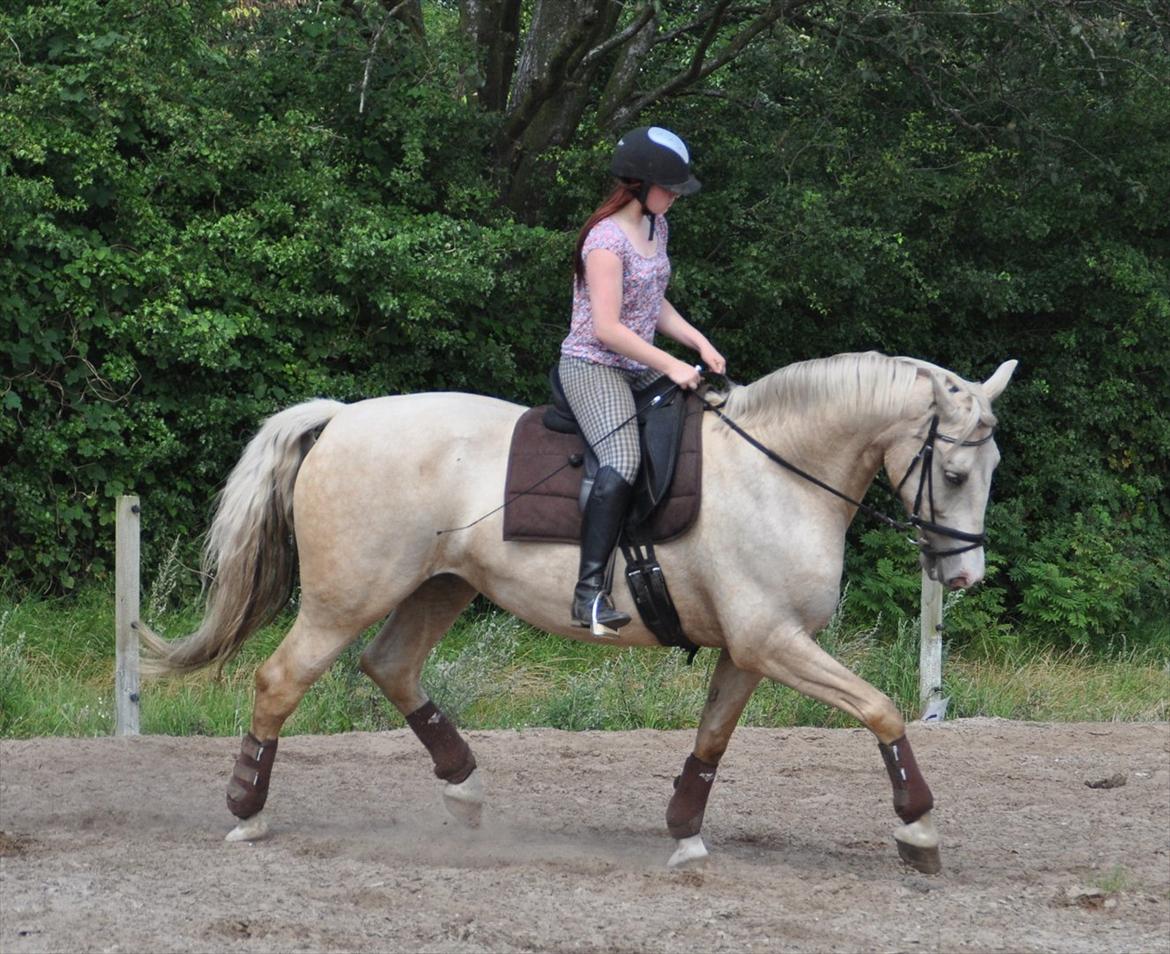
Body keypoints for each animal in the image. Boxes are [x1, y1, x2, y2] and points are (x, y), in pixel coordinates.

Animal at [139, 351, 1015, 870]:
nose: (964, 575)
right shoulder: (774, 640)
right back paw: (247, 814)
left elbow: (712, 740)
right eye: (957, 473)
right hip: (345, 597)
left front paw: (684, 831)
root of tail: (345, 416)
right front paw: (917, 830)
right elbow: (883, 710)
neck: (780, 474)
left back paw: (465, 790)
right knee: (280, 681)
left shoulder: (751, 648)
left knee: (390, 667)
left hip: (438, 586)